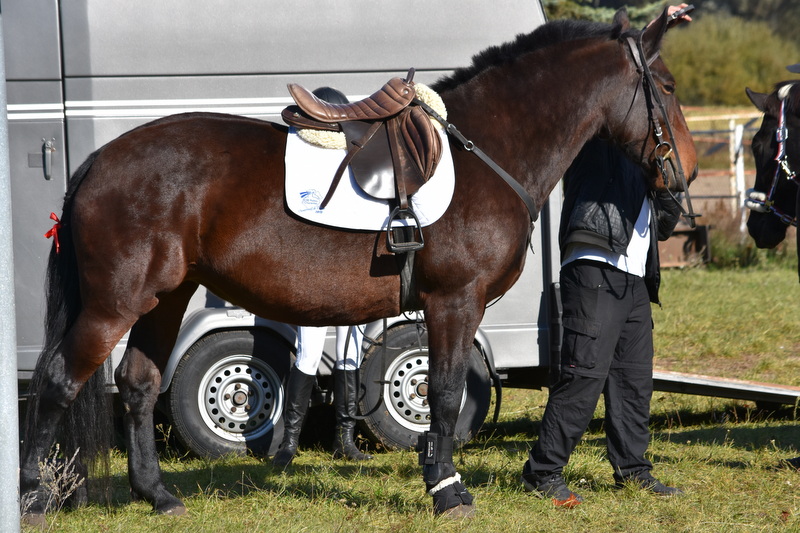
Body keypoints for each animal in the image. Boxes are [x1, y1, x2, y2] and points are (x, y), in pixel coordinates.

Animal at [20, 8, 697, 522]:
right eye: (665, 87)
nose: (684, 172)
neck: (487, 151)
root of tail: (97, 164)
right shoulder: (456, 300)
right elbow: (443, 391)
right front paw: (447, 491)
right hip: (115, 302)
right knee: (58, 381)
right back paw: (34, 497)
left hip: (166, 297)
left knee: (137, 383)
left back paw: (158, 496)